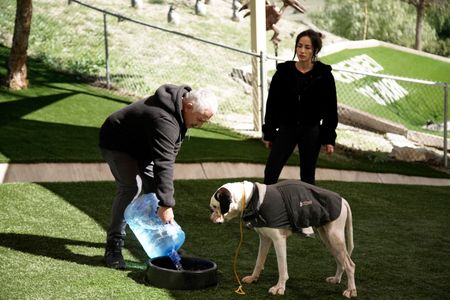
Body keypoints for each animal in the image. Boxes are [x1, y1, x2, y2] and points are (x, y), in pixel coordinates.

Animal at [209, 179, 356, 296]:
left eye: (215, 207)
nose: (210, 218)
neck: (252, 198)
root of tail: (343, 200)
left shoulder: (279, 240)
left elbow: (282, 267)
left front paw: (279, 287)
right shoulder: (265, 239)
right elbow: (259, 261)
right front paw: (253, 278)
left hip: (334, 237)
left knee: (349, 264)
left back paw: (351, 290)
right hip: (328, 239)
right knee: (340, 261)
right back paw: (336, 279)